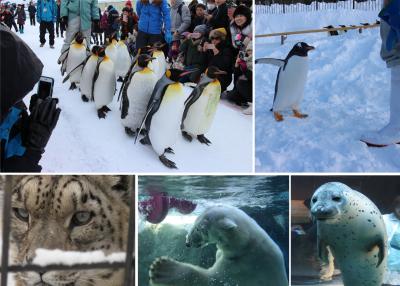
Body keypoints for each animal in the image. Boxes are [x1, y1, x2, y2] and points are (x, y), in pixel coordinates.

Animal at [148, 204, 290, 284]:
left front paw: (161, 269)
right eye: (194, 222)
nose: (187, 242)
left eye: (199, 228)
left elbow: (213, 279)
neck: (246, 246)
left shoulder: (243, 268)